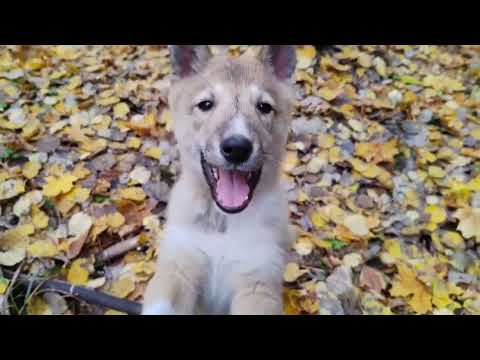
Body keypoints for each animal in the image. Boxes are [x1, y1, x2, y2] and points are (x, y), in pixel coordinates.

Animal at [143, 45, 296, 316]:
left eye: (264, 107)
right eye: (206, 104)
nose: (237, 148)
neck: (223, 221)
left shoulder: (258, 282)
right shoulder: (178, 266)